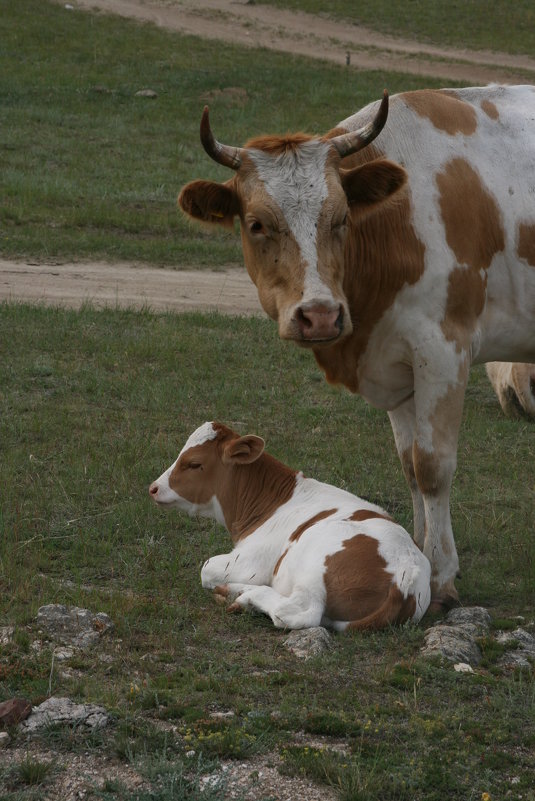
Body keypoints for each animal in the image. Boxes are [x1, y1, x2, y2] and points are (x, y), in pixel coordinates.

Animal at [148, 422, 432, 628]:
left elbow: (206, 568)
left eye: (194, 463)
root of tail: (406, 578)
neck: (271, 503)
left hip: (314, 564)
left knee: (298, 612)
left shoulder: (250, 562)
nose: (154, 487)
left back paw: (243, 595)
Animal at [179, 84, 535, 608]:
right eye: (257, 224)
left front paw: (441, 576)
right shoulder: (397, 363)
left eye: (342, 217)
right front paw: (419, 551)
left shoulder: (443, 350)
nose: (320, 314)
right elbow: (409, 466)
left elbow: (432, 466)